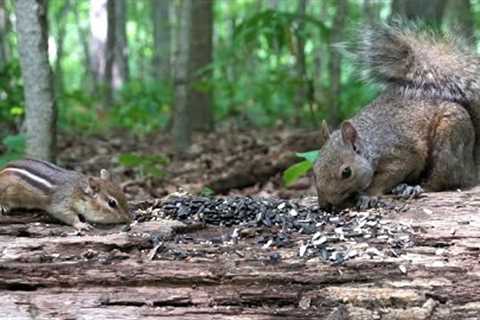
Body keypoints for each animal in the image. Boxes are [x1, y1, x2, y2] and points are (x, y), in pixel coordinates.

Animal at [312, 21, 480, 208]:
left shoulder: (402, 155)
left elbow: (384, 179)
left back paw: (413, 188)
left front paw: (367, 195)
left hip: (450, 139)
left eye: (346, 172)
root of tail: (472, 167)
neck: (372, 144)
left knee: (441, 180)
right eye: (315, 169)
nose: (325, 206)